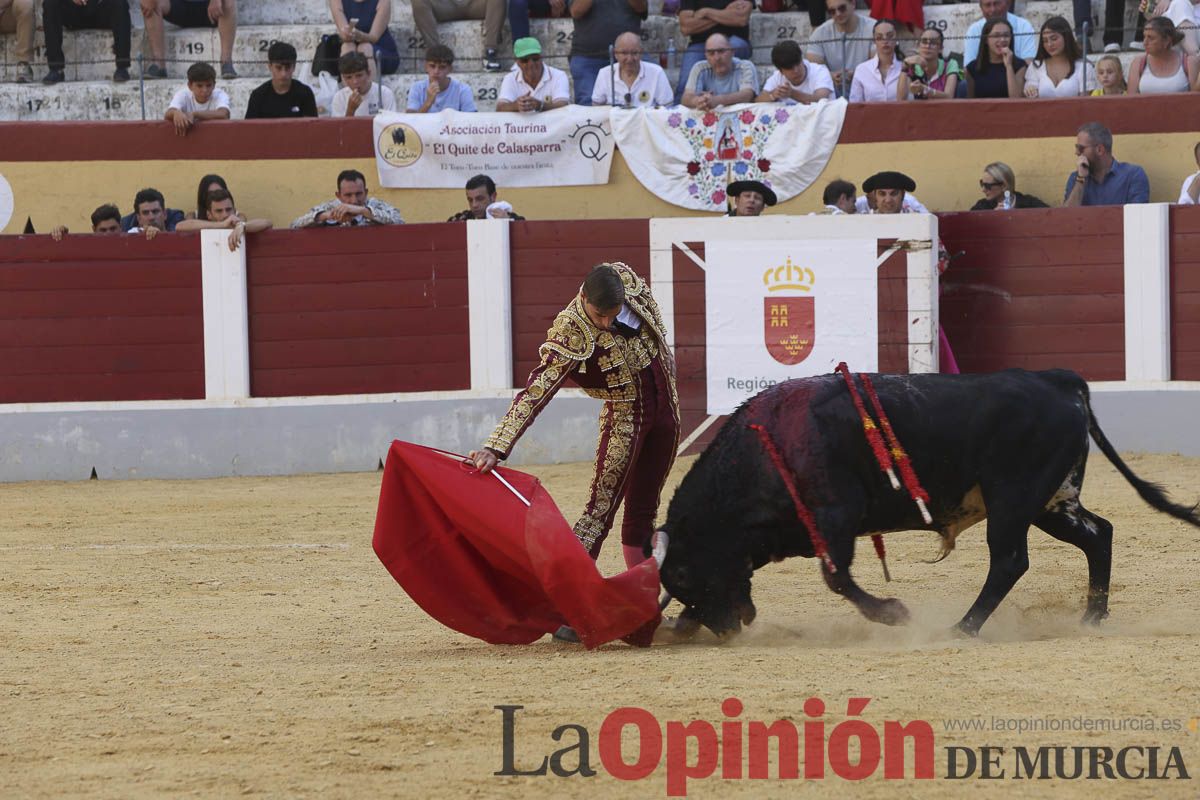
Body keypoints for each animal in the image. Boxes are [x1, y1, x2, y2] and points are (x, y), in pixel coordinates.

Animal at [657, 369, 1200, 638]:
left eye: (681, 573)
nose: (724, 628)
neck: (768, 447)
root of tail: (1060, 381)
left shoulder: (836, 516)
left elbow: (837, 577)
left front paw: (894, 614)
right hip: (1051, 501)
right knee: (1097, 534)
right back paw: (1090, 618)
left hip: (1013, 499)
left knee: (1010, 560)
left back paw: (963, 627)